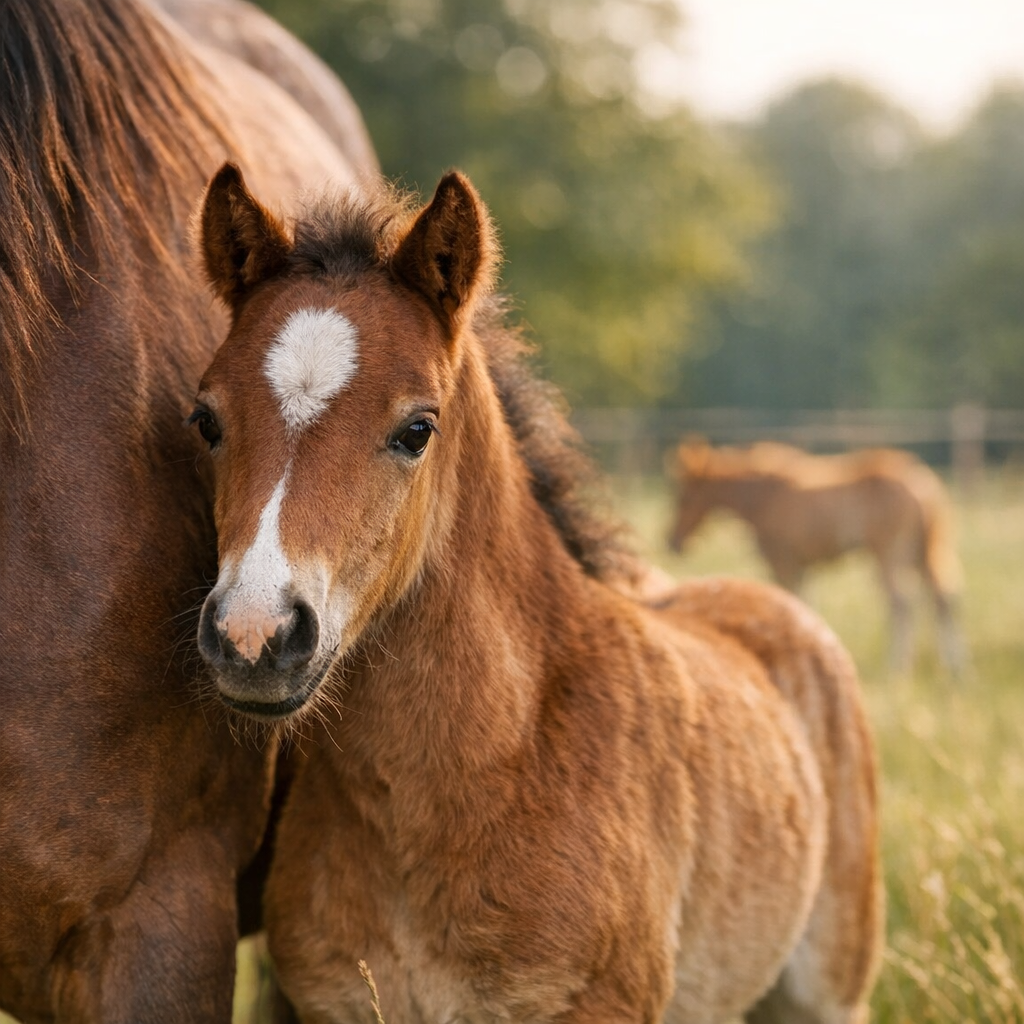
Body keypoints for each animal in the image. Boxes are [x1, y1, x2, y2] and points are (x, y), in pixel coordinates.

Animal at [668, 439, 967, 676]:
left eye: (684, 498)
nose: (672, 541)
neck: (763, 494)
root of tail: (922, 482)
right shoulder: (803, 568)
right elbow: (805, 608)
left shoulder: (783, 563)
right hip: (925, 554)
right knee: (944, 598)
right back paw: (956, 669)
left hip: (889, 556)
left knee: (901, 602)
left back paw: (898, 666)